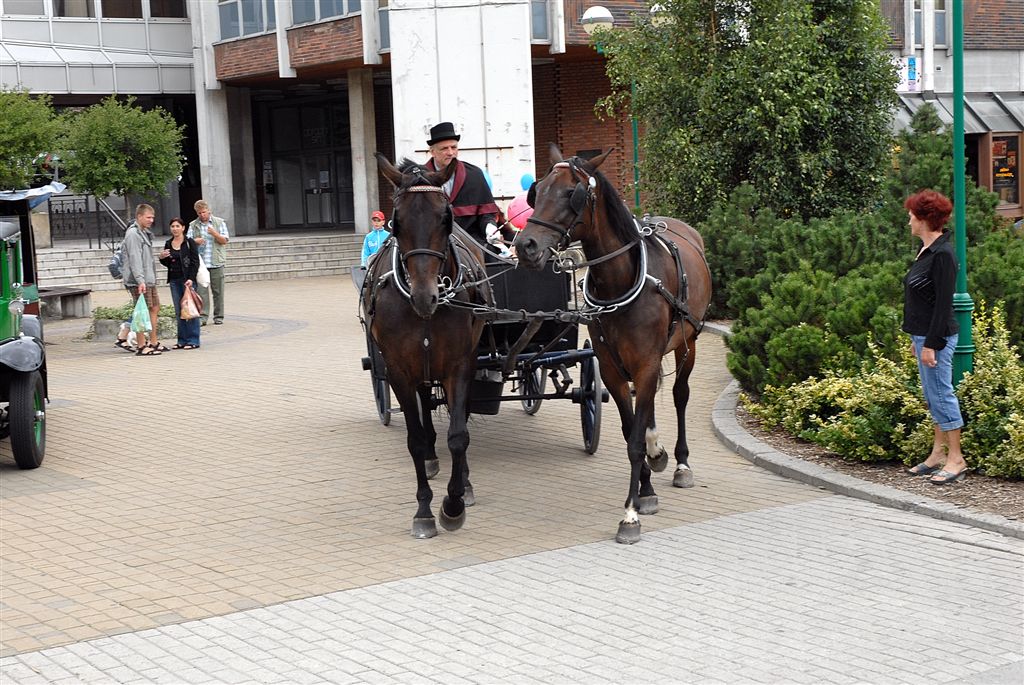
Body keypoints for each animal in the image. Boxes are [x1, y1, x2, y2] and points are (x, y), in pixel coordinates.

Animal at [361, 154, 492, 538]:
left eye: (445, 218)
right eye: (396, 222)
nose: (425, 296)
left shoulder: (460, 365)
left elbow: (459, 435)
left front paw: (454, 503)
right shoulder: (398, 370)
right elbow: (416, 440)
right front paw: (423, 510)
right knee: (423, 404)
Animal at [515, 146, 712, 544]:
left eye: (570, 193)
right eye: (537, 191)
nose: (525, 246)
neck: (619, 283)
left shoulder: (646, 362)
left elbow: (635, 438)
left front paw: (630, 515)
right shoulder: (611, 368)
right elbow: (629, 432)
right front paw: (646, 490)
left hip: (688, 343)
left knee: (679, 395)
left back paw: (681, 462)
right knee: (647, 408)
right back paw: (658, 451)